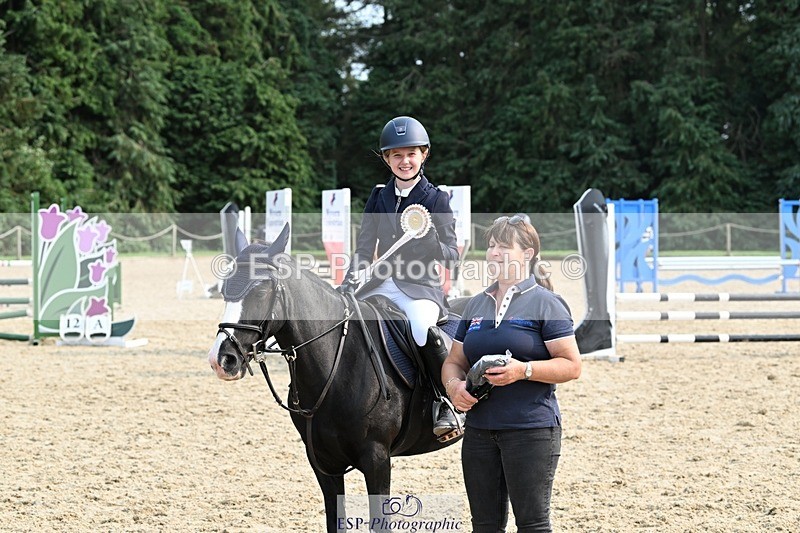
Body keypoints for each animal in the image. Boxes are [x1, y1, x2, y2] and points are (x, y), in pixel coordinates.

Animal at [208, 224, 469, 532]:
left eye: (260, 290)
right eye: (224, 289)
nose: (221, 360)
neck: (338, 362)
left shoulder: (377, 459)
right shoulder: (323, 463)